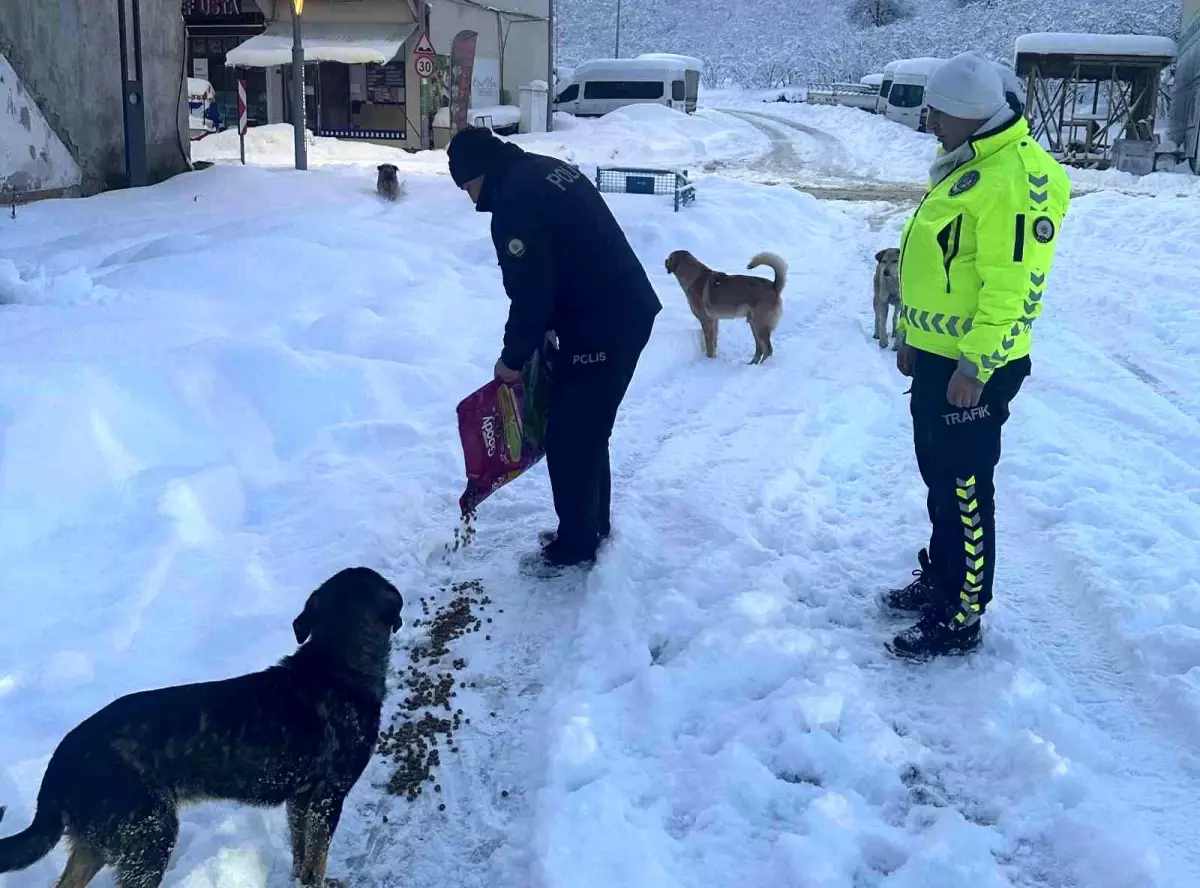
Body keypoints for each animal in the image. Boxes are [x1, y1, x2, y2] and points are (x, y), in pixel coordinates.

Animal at [0, 566, 403, 888]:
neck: (337, 663)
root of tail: (59, 768)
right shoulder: (326, 799)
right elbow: (316, 861)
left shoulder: (300, 802)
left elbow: (301, 857)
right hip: (150, 837)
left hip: (99, 843)